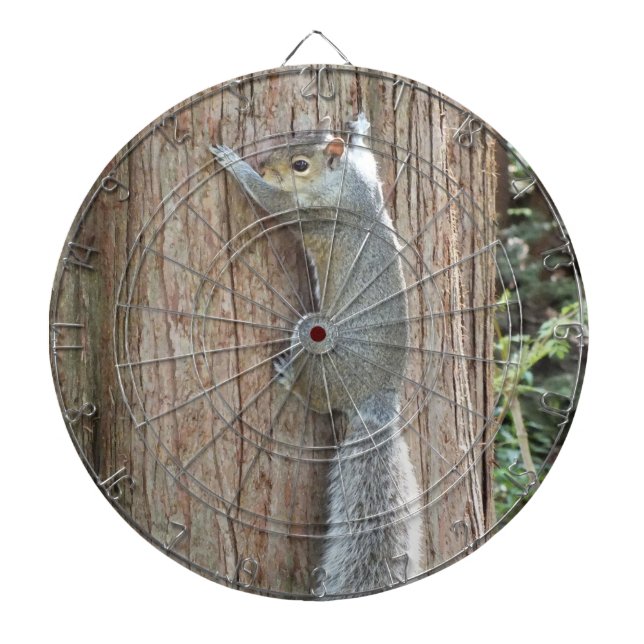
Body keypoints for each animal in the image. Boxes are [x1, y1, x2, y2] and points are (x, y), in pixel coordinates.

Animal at [210, 113, 422, 596]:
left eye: (300, 164)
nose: (264, 164)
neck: (344, 184)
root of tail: (378, 400)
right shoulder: (370, 179)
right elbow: (368, 154)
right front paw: (359, 128)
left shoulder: (312, 215)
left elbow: (273, 203)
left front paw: (236, 166)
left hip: (318, 350)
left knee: (320, 399)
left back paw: (292, 379)